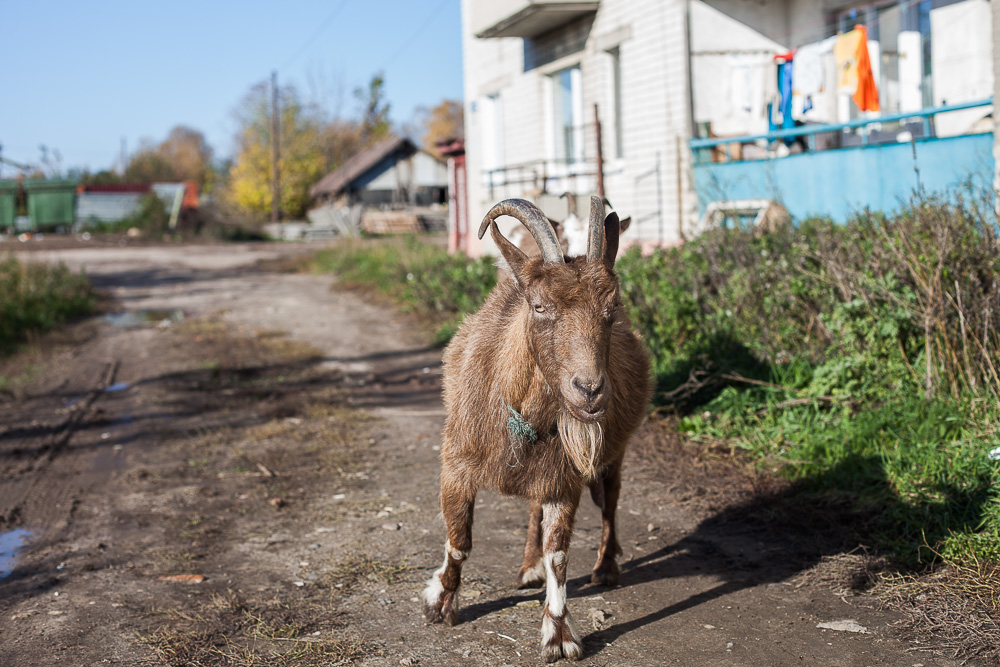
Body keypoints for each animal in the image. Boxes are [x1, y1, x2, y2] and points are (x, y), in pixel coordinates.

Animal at [420, 196, 648, 660]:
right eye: (539, 306)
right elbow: (459, 540)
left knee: (610, 501)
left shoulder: (565, 479)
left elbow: (558, 552)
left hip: (612, 454)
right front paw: (441, 601)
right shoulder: (456, 464)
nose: (590, 390)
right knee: (532, 510)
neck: (521, 414)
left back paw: (606, 567)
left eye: (611, 309)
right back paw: (529, 567)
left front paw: (558, 634)